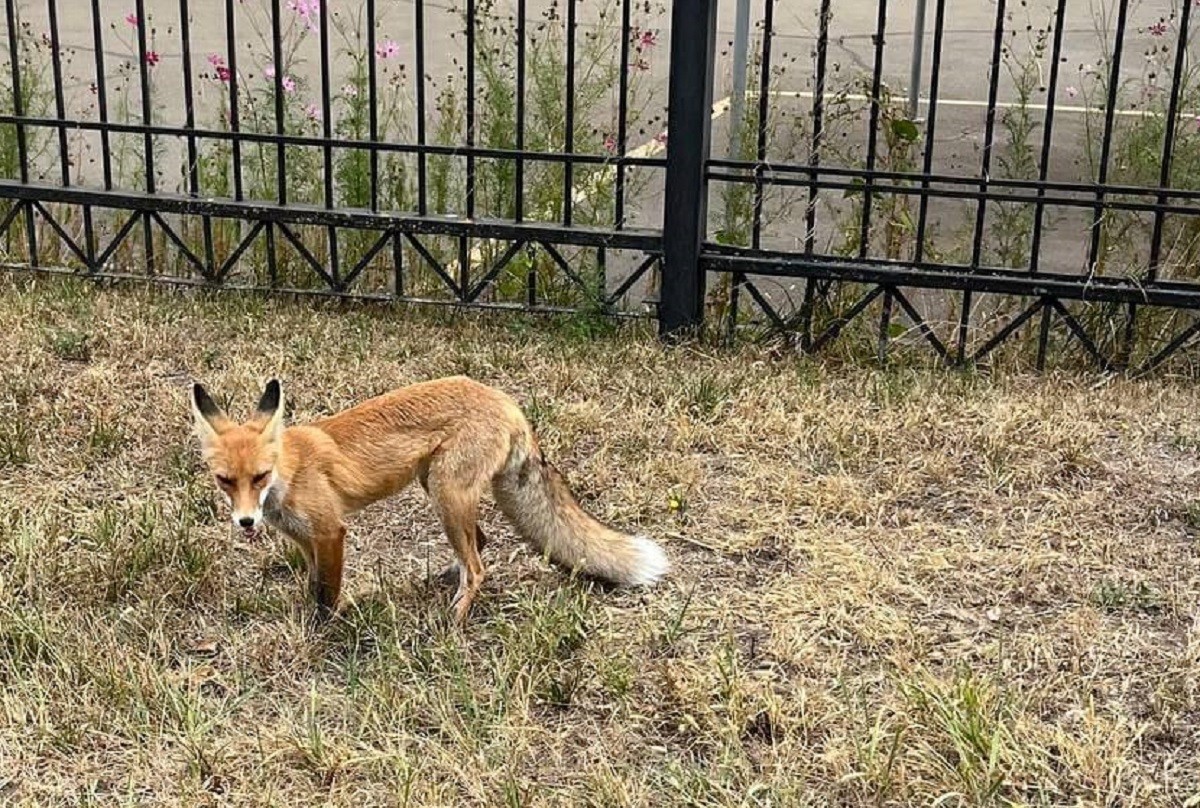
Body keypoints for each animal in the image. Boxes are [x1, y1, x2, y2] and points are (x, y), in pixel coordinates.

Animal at [192, 374, 672, 619]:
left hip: (446, 493)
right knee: (479, 545)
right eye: (224, 480)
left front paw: (323, 632)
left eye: (259, 476)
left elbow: (327, 597)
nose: (246, 522)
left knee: (478, 568)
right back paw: (446, 580)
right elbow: (314, 585)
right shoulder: (307, 542)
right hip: (438, 488)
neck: (290, 470)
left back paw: (453, 623)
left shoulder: (330, 532)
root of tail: (506, 401)